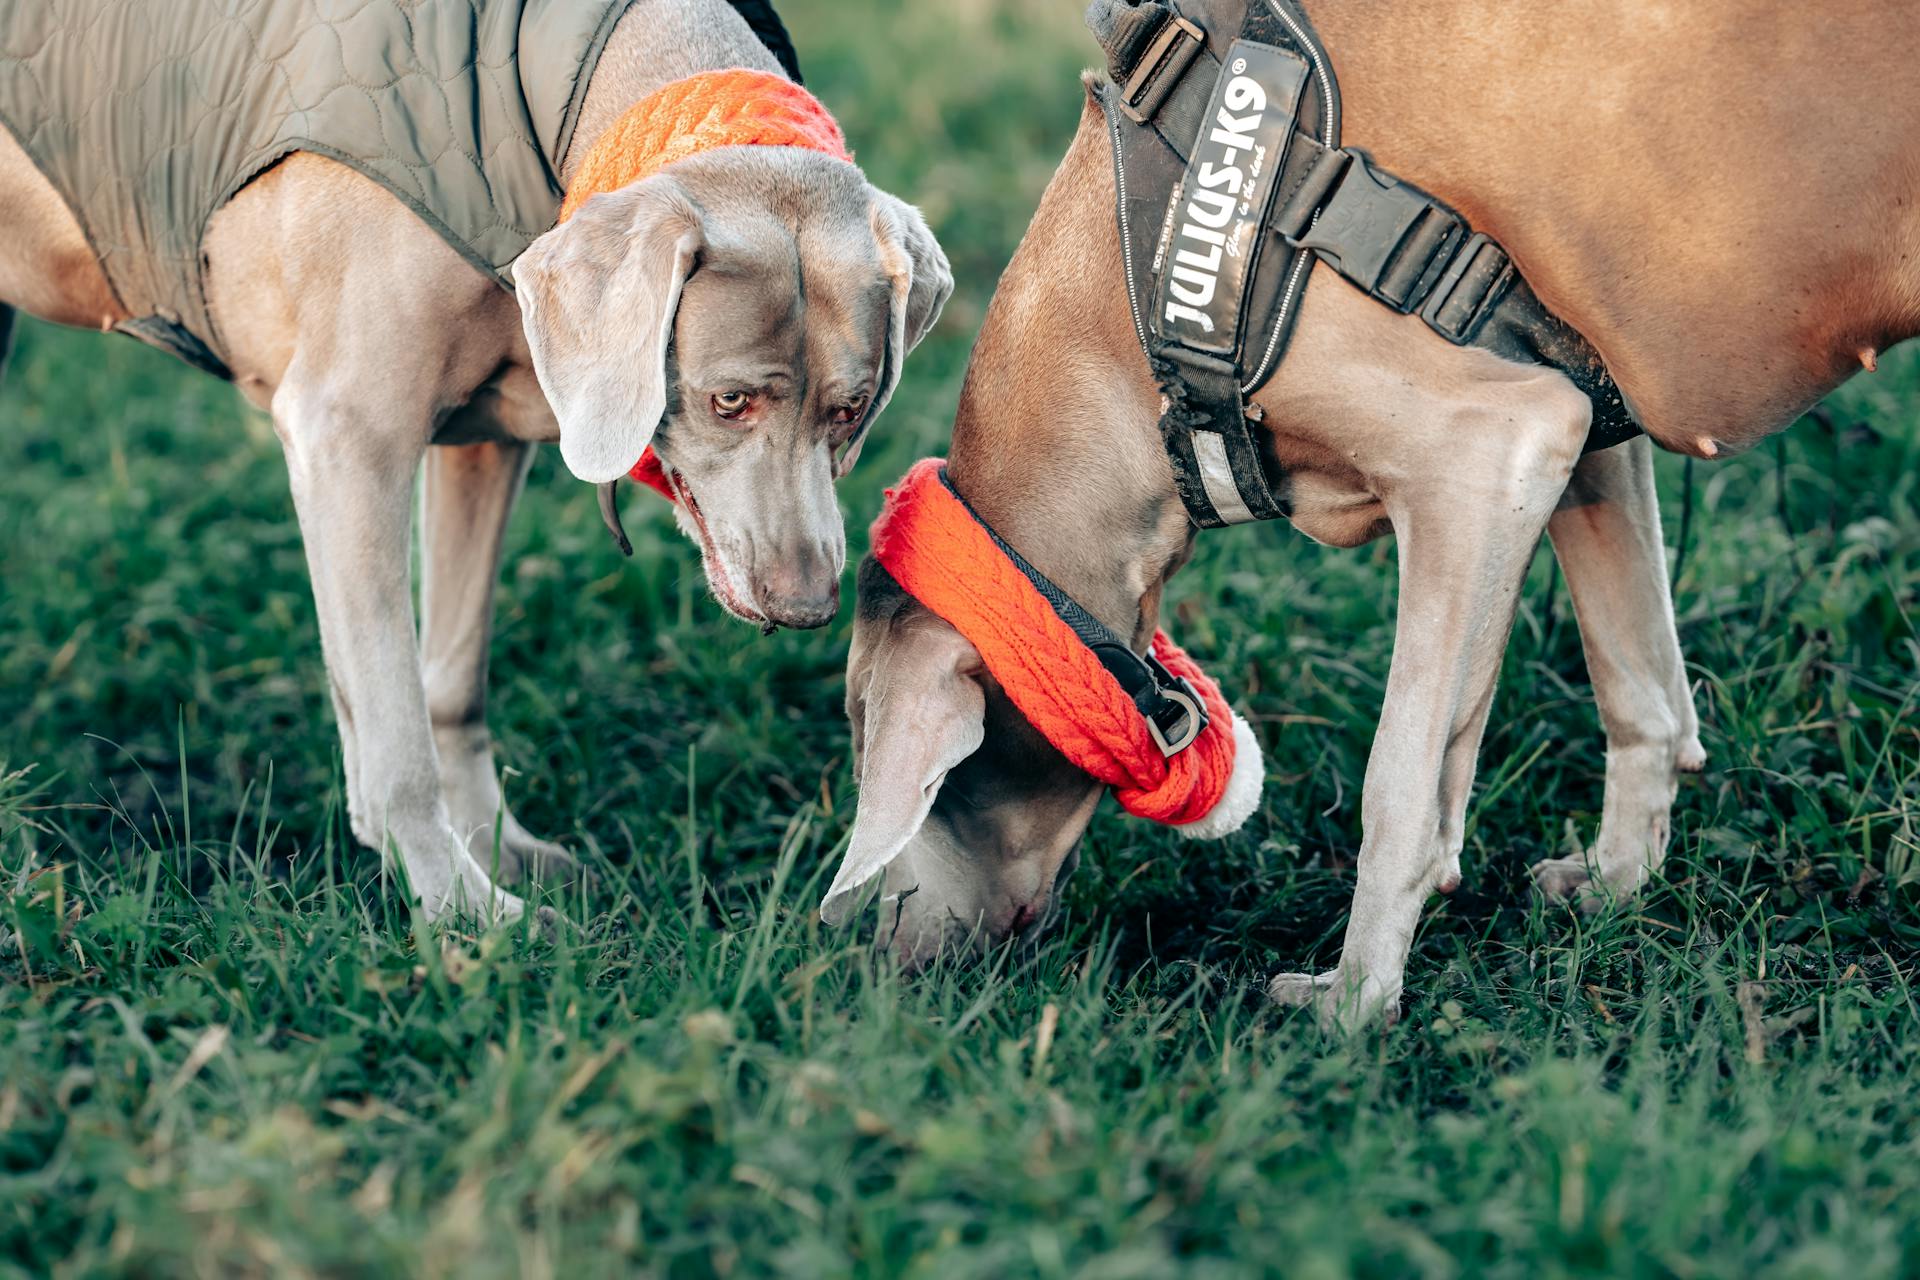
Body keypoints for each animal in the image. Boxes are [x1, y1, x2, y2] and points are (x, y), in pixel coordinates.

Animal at [0, 0, 952, 924]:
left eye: (848, 412)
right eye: (730, 401)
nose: (808, 608)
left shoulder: (487, 441)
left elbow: (452, 680)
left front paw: (495, 849)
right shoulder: (347, 435)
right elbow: (395, 723)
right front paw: (462, 908)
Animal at [829, 0, 1920, 1028]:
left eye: (929, 777)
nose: (879, 966)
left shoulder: (1493, 443)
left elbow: (1400, 784)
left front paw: (1353, 1002)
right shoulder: (1580, 424)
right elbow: (1639, 685)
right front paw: (1618, 883)